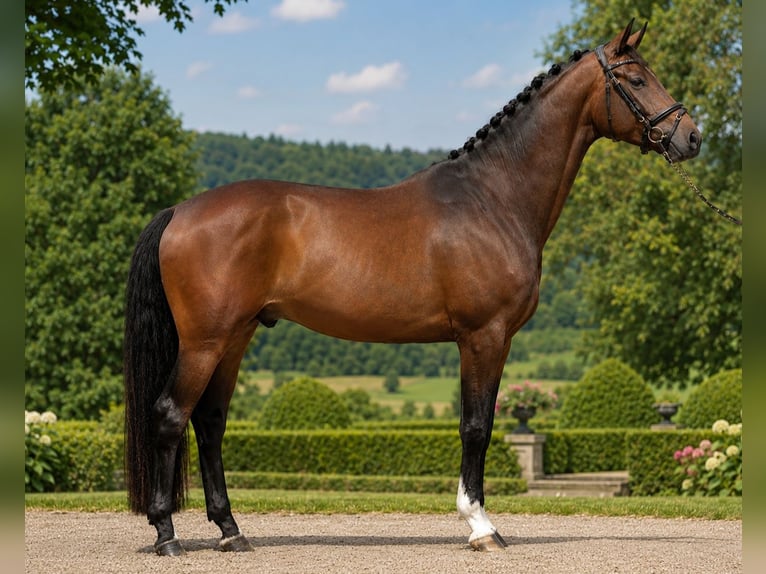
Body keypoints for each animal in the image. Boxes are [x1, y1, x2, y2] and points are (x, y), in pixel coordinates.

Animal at [124, 19, 701, 556]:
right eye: (636, 78)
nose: (691, 136)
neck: (493, 197)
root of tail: (181, 211)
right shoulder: (484, 336)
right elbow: (476, 427)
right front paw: (481, 526)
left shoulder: (489, 340)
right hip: (205, 341)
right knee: (170, 416)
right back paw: (167, 534)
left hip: (235, 337)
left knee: (210, 422)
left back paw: (230, 530)